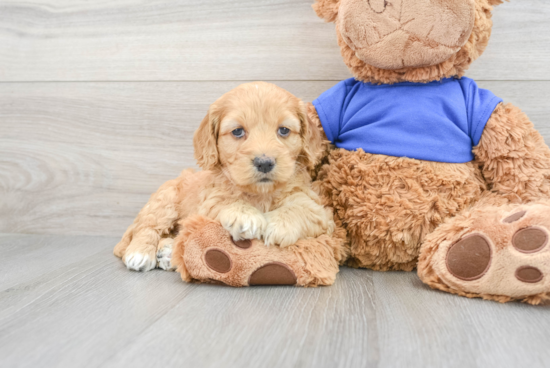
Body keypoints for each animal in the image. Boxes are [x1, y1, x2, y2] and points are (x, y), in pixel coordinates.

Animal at [114, 82, 334, 272]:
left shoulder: (318, 209)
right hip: (163, 202)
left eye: (283, 130)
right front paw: (245, 216)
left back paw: (167, 253)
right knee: (147, 227)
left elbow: (302, 209)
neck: (261, 194)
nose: (264, 163)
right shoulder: (207, 204)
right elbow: (226, 202)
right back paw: (140, 253)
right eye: (237, 131)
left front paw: (277, 224)